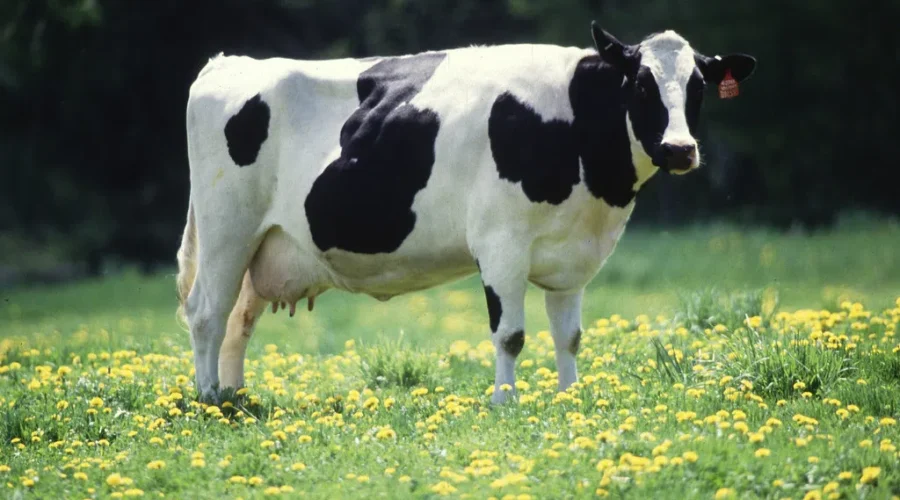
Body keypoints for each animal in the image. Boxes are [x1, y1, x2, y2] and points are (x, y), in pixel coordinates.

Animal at [176, 22, 756, 404]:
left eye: (698, 87)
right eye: (640, 84)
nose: (680, 149)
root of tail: (228, 63)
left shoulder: (574, 256)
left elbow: (568, 335)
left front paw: (570, 398)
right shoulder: (501, 242)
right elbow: (511, 334)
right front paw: (505, 403)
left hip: (263, 244)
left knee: (238, 319)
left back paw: (235, 397)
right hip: (227, 228)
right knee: (206, 312)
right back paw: (209, 399)